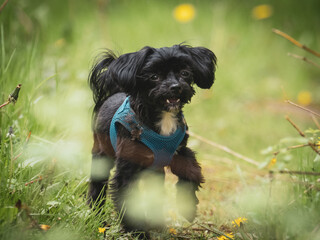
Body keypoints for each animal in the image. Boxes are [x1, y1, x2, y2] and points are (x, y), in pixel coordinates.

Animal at [87, 44, 218, 235]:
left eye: (185, 73)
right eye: (154, 76)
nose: (175, 87)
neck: (162, 117)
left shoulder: (181, 152)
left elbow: (192, 174)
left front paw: (187, 207)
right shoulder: (126, 169)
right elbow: (129, 199)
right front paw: (138, 232)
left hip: (154, 172)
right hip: (101, 153)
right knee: (97, 184)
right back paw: (96, 214)